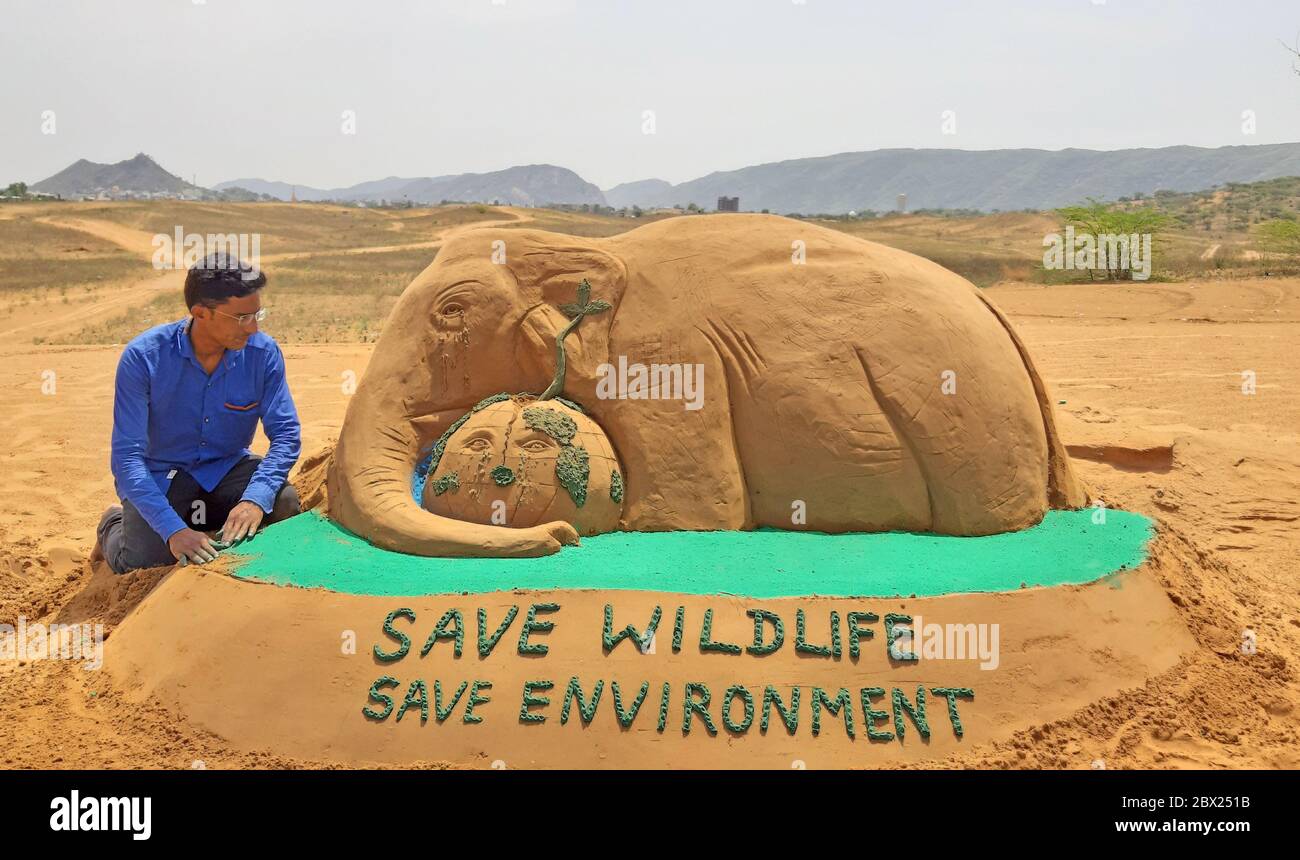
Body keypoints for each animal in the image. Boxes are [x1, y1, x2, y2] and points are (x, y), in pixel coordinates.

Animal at [326, 213, 1087, 558]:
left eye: (452, 312)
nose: (562, 538)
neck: (593, 250)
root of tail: (994, 309)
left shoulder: (670, 367)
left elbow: (690, 513)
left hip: (977, 432)